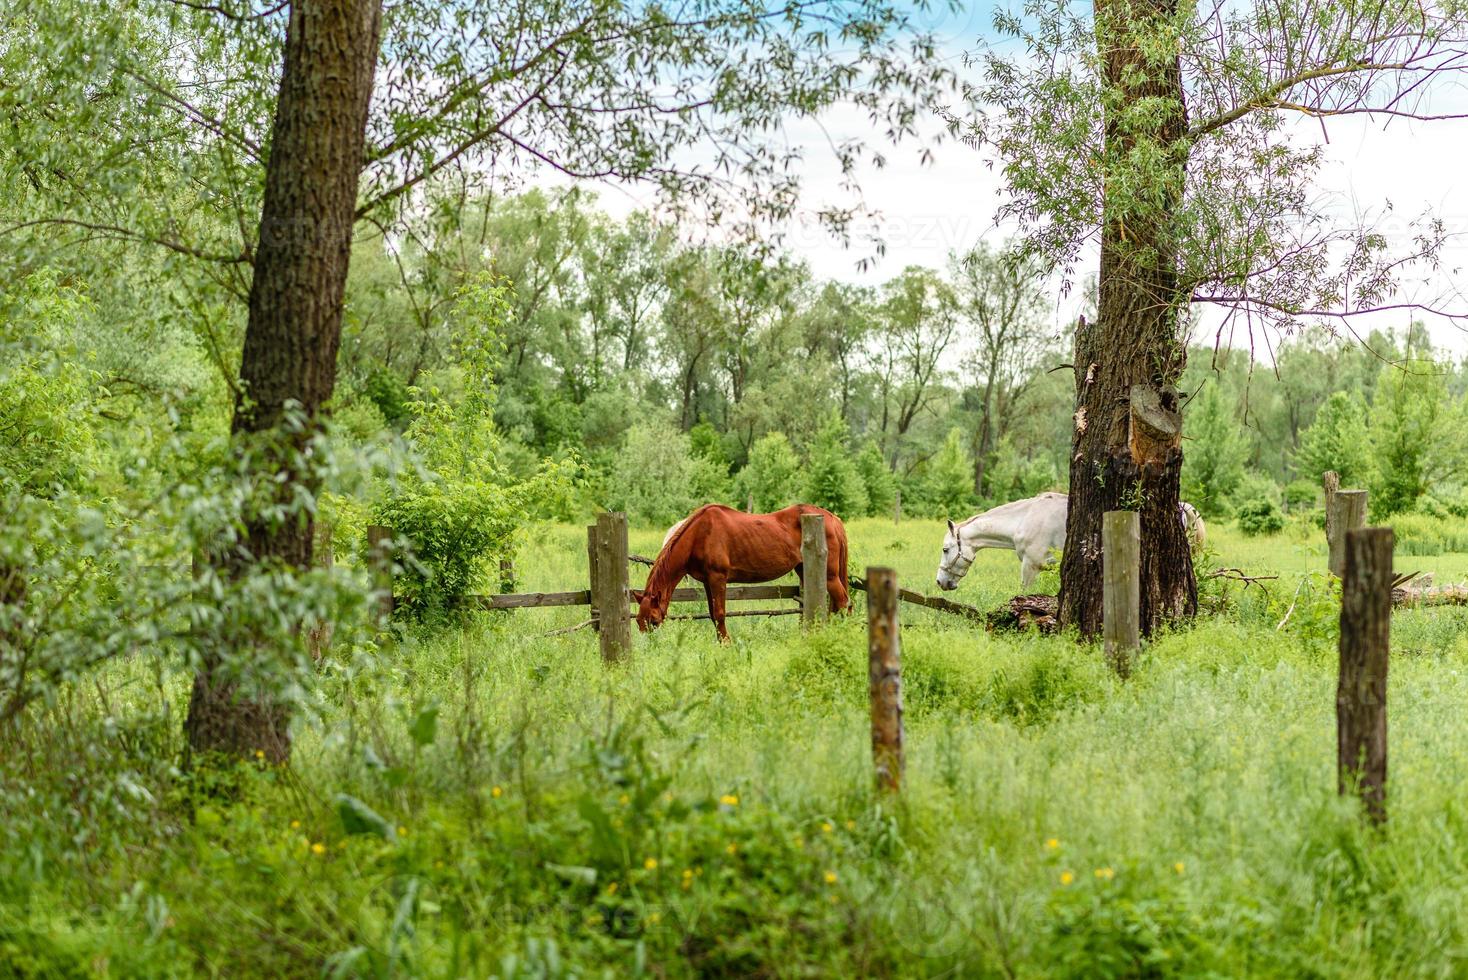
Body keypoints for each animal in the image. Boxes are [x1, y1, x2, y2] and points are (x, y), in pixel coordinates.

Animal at [631, 504, 851, 642]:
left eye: (654, 620)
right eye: (639, 622)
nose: (650, 648)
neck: (700, 534)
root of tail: (831, 518)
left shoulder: (718, 578)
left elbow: (719, 614)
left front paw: (727, 644)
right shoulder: (707, 582)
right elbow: (712, 615)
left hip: (830, 576)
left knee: (843, 603)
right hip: (806, 570)